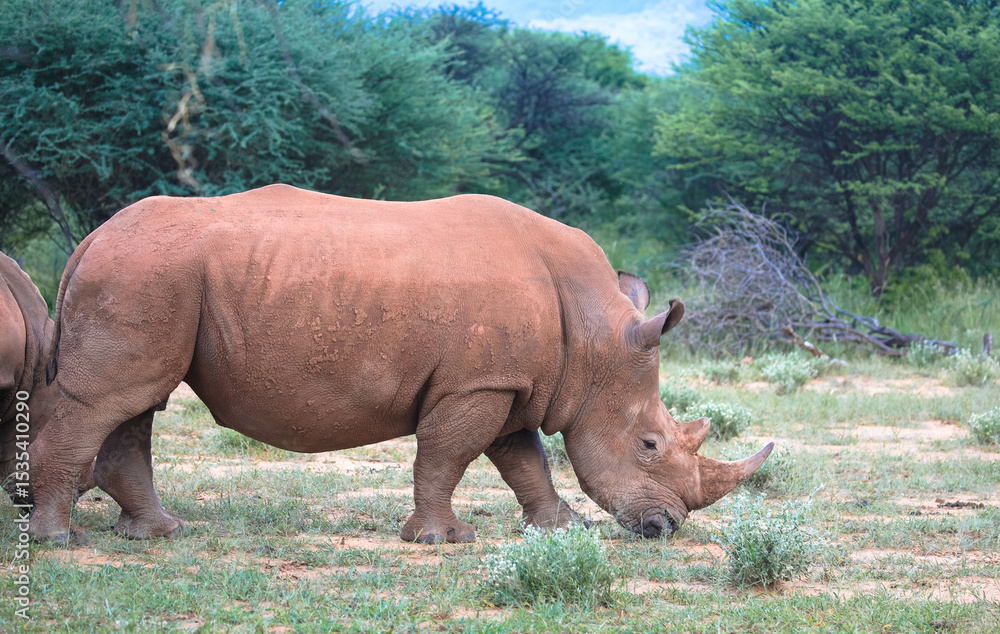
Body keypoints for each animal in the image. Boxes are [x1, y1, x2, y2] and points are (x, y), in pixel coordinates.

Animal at [29, 185, 771, 544]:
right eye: (648, 444)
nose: (666, 527)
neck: (594, 338)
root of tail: (91, 238)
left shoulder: (510, 382)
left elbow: (521, 458)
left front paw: (559, 529)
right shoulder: (477, 383)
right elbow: (447, 454)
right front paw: (444, 539)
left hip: (150, 276)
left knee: (134, 404)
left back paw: (158, 534)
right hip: (143, 273)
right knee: (108, 402)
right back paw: (61, 543)